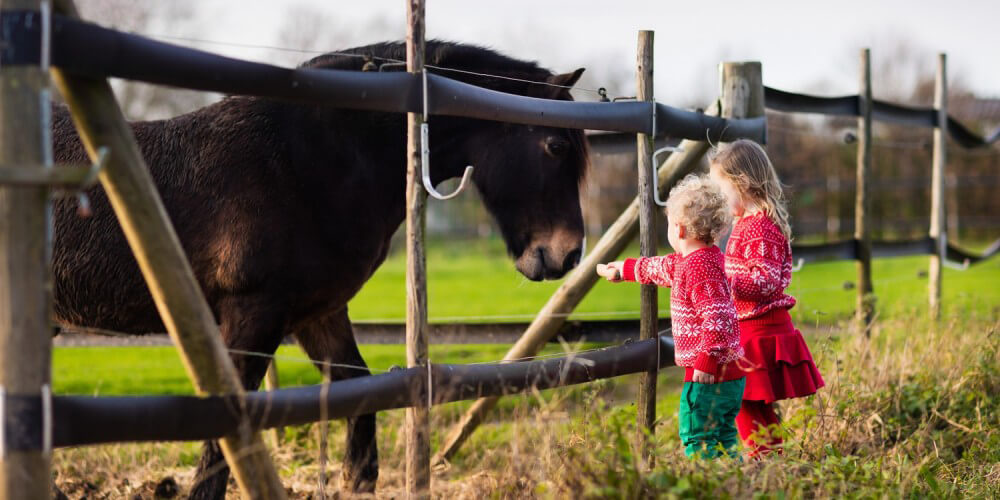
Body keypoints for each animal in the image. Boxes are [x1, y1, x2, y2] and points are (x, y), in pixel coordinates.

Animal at [51, 40, 588, 498]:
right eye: (555, 147)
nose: (567, 255)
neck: (311, 157)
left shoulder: (318, 313)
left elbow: (359, 396)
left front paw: (355, 479)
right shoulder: (253, 314)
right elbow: (219, 452)